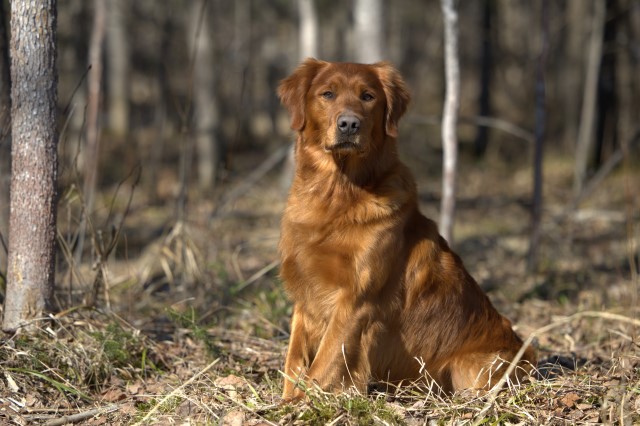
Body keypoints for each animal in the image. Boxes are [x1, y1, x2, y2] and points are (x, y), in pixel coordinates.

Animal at [278, 58, 532, 402]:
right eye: (327, 94)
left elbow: (324, 362)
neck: (338, 193)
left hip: (471, 368)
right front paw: (287, 400)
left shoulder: (356, 299)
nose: (349, 124)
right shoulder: (305, 291)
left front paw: (299, 405)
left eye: (368, 96)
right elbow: (294, 360)